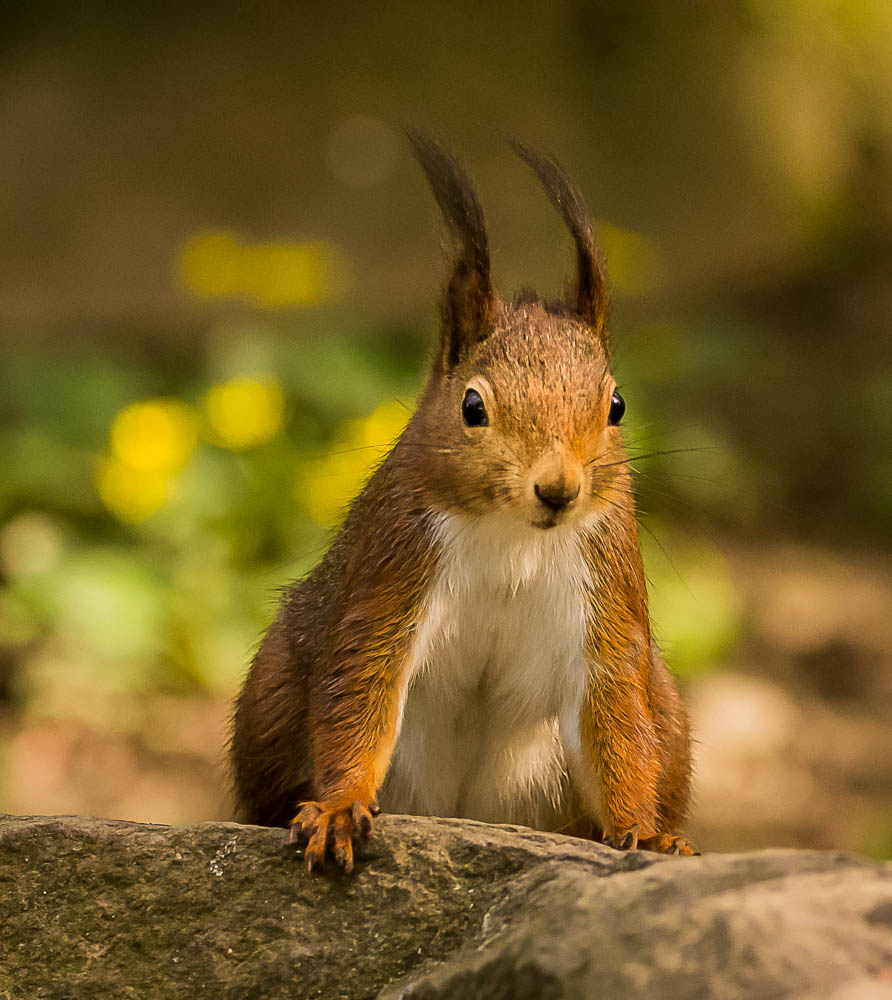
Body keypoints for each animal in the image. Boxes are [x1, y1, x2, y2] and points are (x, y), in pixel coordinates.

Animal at [228, 131, 688, 868]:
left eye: (617, 405)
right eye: (473, 406)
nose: (558, 489)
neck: (514, 535)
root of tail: (467, 813)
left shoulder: (605, 590)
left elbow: (616, 717)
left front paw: (644, 831)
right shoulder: (394, 568)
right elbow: (361, 686)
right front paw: (339, 808)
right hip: (272, 690)